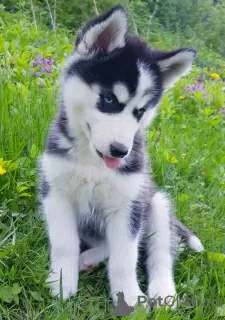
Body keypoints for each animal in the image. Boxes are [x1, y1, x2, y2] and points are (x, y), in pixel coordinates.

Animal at [39, 6, 204, 308]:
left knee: (158, 253)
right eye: (108, 100)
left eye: (140, 112)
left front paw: (128, 297)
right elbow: (65, 243)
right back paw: (87, 259)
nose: (120, 151)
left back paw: (162, 291)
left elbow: (126, 256)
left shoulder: (129, 205)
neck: (92, 163)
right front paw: (62, 280)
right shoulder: (56, 192)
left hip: (156, 204)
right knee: (107, 244)